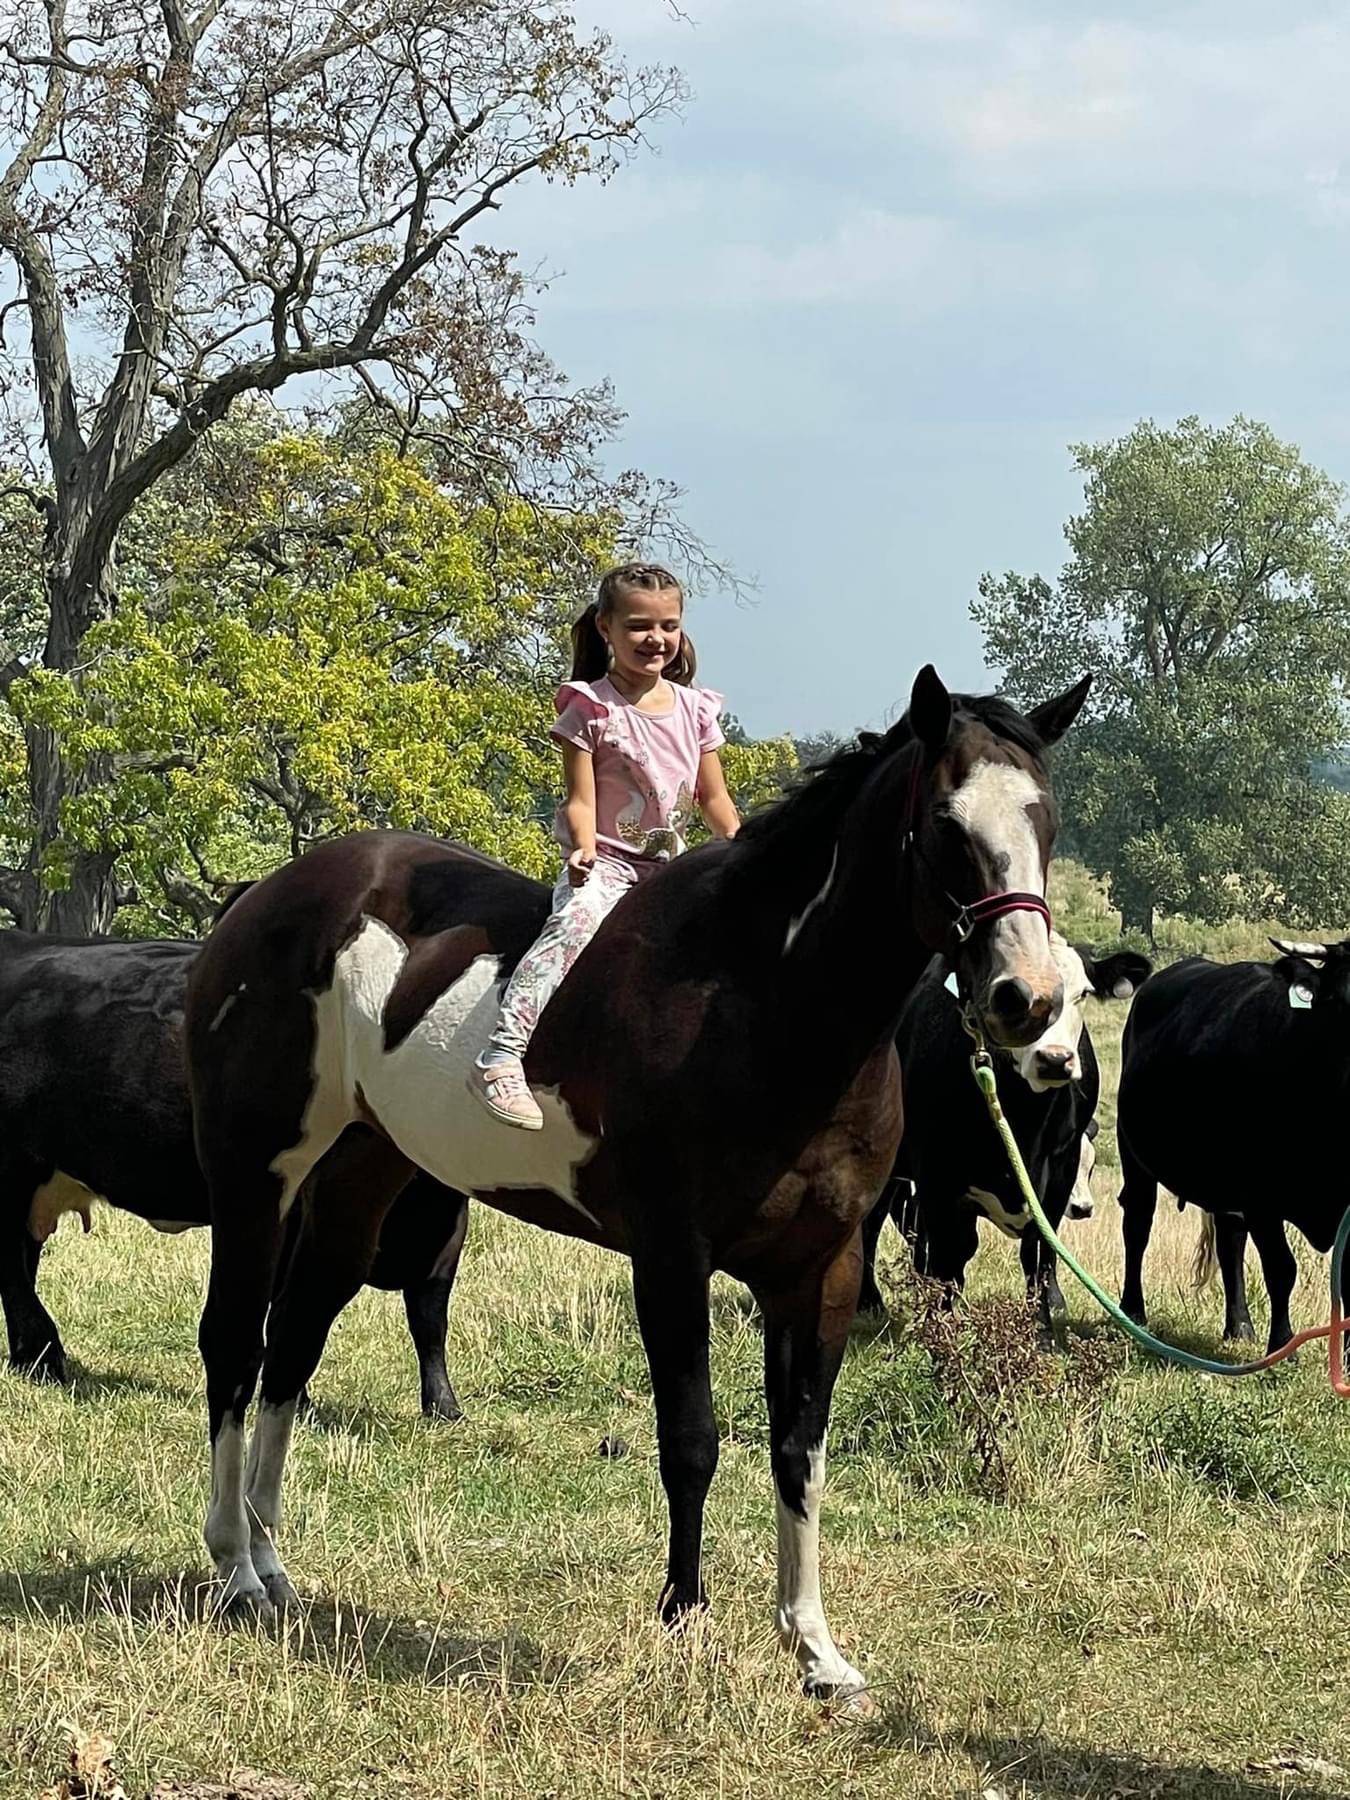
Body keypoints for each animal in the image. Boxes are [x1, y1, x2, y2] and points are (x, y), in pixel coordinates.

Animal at [183, 665, 1090, 1706]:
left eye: (1046, 817)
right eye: (946, 822)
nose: (1027, 1002)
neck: (762, 1003)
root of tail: (264, 897)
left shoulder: (818, 1273)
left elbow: (800, 1449)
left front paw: (814, 1649)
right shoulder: (671, 1258)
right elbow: (691, 1439)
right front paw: (684, 1622)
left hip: (357, 1183)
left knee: (291, 1346)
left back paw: (271, 1563)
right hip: (254, 1180)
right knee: (235, 1347)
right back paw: (233, 1567)